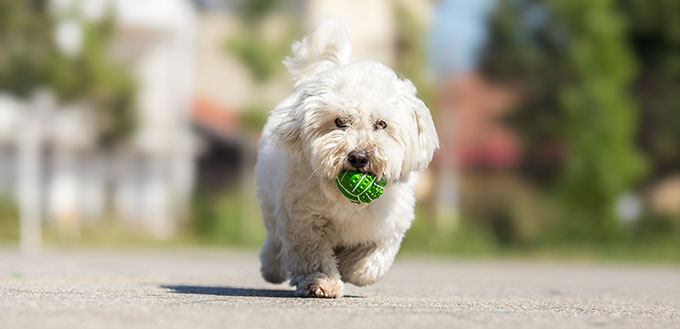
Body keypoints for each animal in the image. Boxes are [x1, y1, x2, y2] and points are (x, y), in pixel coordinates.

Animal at [252, 20, 438, 298]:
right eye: (340, 121)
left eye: (381, 124)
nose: (359, 156)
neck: (346, 205)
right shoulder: (303, 221)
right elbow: (312, 255)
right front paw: (322, 282)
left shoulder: (389, 226)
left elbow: (369, 264)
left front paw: (351, 267)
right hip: (271, 204)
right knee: (274, 240)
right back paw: (272, 269)